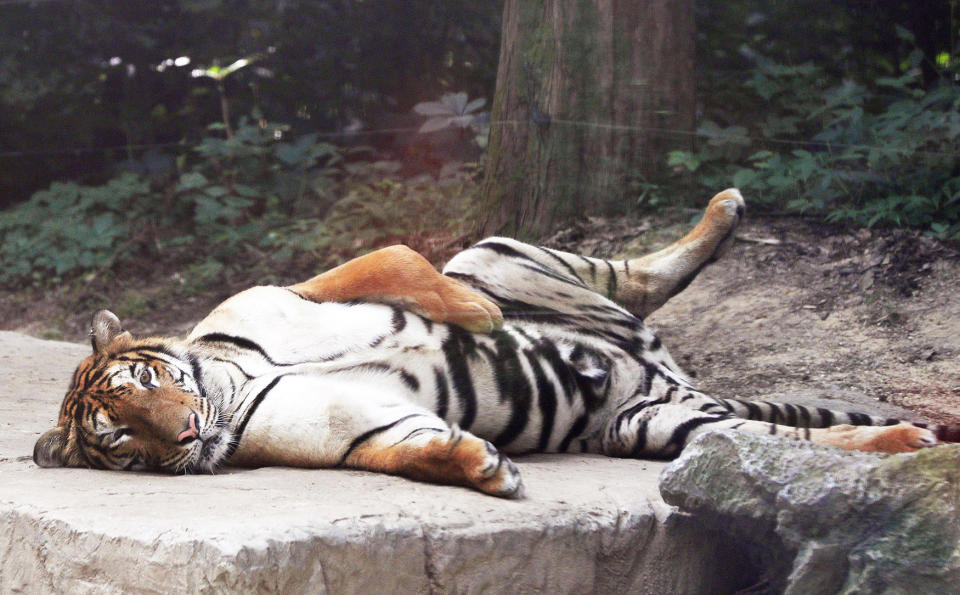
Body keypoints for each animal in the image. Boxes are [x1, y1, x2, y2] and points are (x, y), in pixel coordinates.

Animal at [33, 189, 956, 496]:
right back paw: (904, 437)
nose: (186, 433)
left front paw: (476, 322)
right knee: (787, 438)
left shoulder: (296, 292)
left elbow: (404, 263)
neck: (225, 391)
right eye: (121, 438)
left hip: (507, 251)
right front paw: (483, 467)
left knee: (635, 276)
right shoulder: (352, 425)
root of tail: (670, 372)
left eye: (148, 382)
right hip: (664, 425)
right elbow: (402, 446)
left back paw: (723, 210)